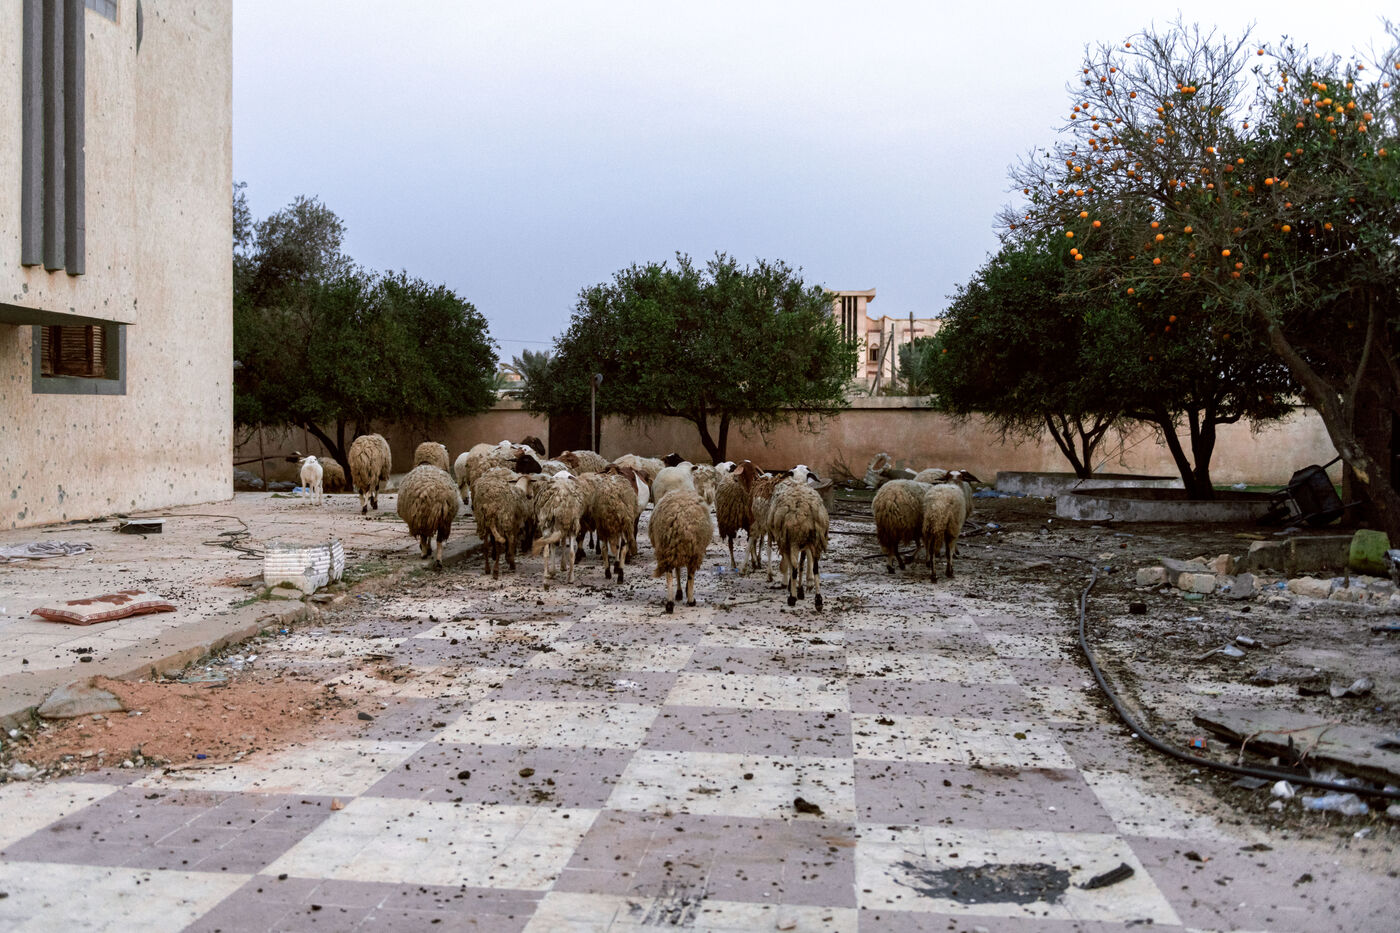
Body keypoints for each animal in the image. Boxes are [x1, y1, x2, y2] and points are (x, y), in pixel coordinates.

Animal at [768, 465, 830, 610]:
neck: (800, 481)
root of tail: (804, 507)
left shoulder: (786, 541)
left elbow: (793, 566)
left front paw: (794, 589)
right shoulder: (806, 544)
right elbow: (803, 563)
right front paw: (801, 589)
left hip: (794, 540)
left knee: (795, 567)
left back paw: (792, 598)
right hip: (815, 539)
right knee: (815, 567)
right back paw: (818, 600)